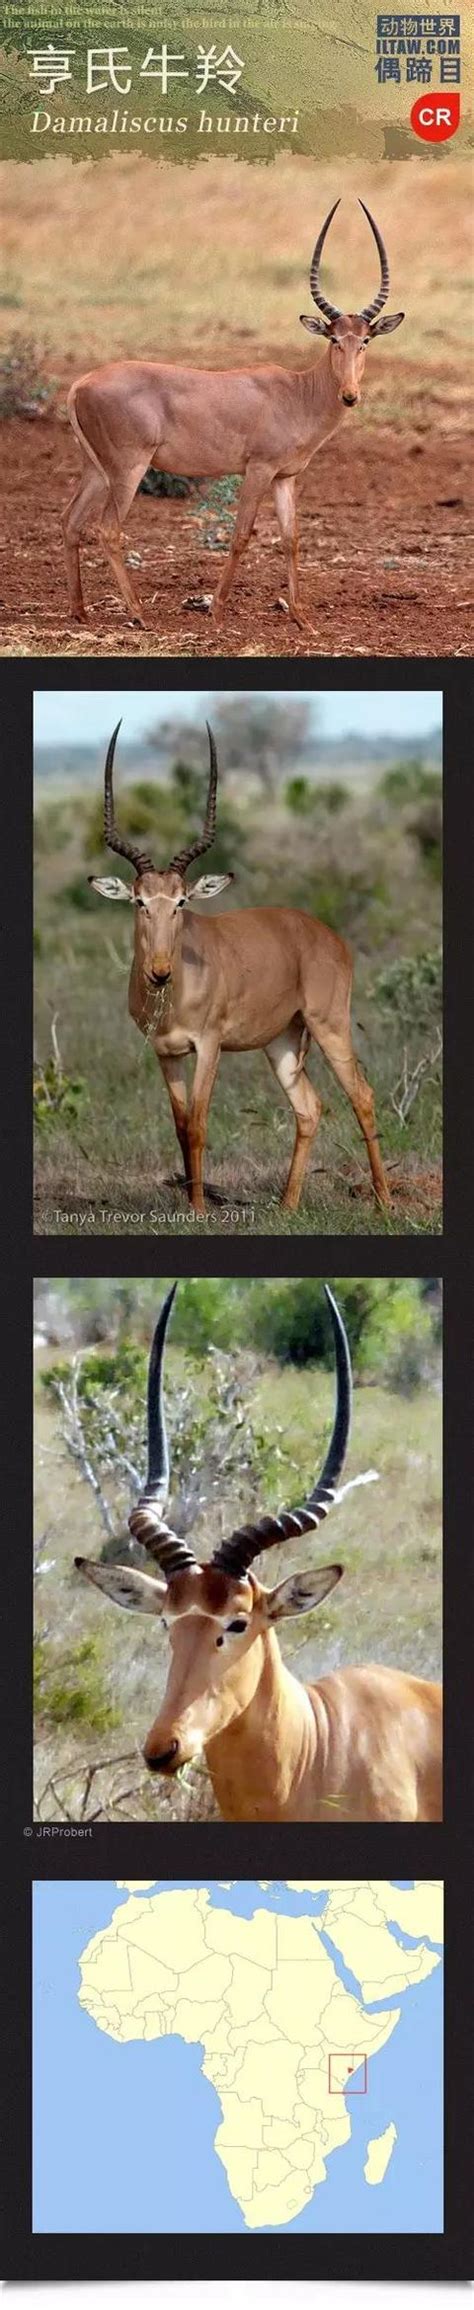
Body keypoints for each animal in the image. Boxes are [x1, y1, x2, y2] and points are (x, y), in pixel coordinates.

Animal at [63, 198, 404, 628]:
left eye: (366, 340)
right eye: (333, 338)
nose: (349, 395)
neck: (296, 392)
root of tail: (81, 383)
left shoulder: (285, 478)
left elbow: (291, 538)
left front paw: (302, 619)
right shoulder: (258, 470)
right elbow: (242, 534)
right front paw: (217, 609)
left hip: (95, 469)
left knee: (71, 521)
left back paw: (79, 611)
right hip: (128, 469)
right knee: (107, 528)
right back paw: (140, 614)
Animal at [89, 720, 388, 1219]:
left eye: (182, 901)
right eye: (139, 902)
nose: (160, 972)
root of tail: (325, 934)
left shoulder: (209, 1046)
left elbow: (199, 1124)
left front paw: (198, 1211)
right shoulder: (166, 1053)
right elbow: (180, 1124)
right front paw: (192, 1204)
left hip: (329, 1026)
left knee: (361, 1096)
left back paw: (384, 1199)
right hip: (282, 1041)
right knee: (309, 1107)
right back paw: (287, 1206)